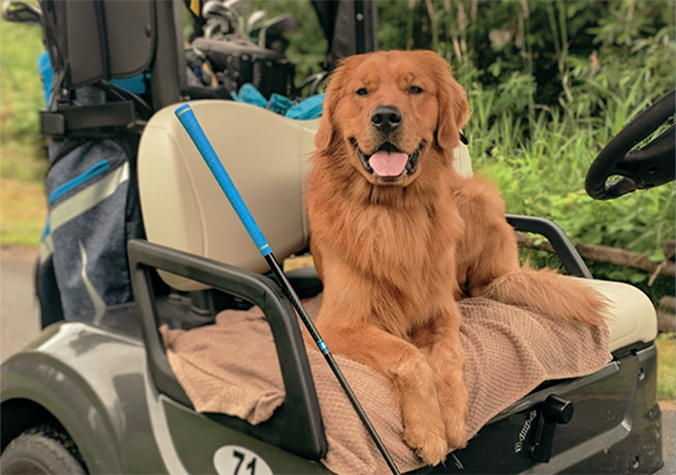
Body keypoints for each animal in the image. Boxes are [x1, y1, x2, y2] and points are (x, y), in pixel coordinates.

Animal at [304, 51, 604, 464]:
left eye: (415, 89)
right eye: (361, 92)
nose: (385, 117)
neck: (393, 211)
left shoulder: (442, 313)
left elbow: (448, 359)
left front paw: (452, 420)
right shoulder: (336, 324)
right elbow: (408, 355)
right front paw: (429, 430)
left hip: (479, 196)